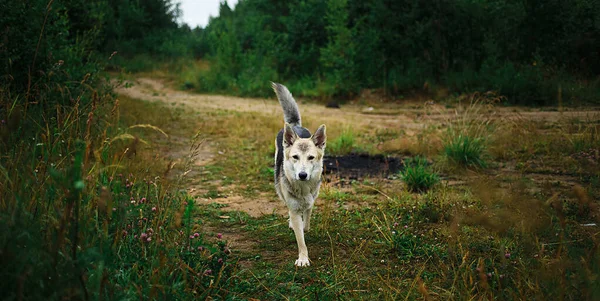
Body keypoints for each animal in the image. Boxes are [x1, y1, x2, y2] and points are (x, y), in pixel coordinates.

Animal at [274, 81, 328, 264]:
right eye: (295, 157)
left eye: (311, 157)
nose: (302, 175)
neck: (303, 188)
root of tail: (295, 125)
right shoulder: (294, 208)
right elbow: (300, 239)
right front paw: (303, 258)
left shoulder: (311, 202)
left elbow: (306, 223)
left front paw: (306, 227)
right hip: (279, 187)